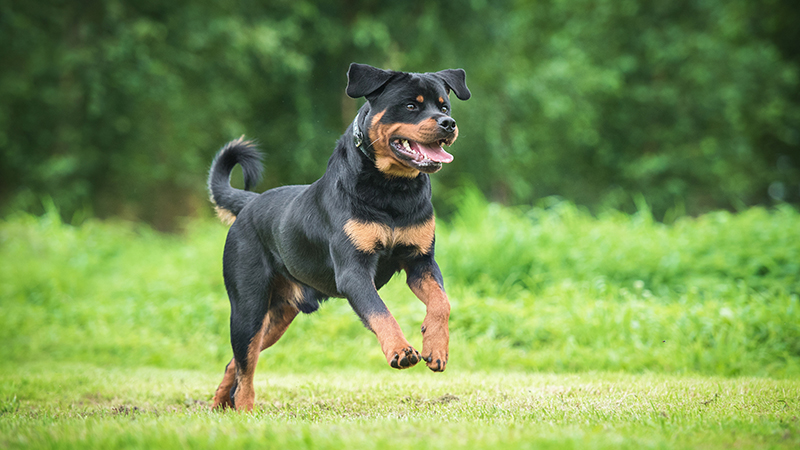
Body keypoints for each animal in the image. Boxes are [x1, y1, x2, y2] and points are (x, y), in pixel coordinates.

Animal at [206, 62, 468, 412]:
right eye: (411, 106)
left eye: (444, 106)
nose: (447, 123)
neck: (392, 191)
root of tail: (249, 203)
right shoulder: (353, 272)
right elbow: (380, 312)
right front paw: (400, 350)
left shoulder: (421, 262)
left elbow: (441, 302)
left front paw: (436, 348)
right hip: (248, 307)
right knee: (246, 365)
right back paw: (245, 410)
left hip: (276, 318)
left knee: (236, 360)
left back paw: (220, 403)